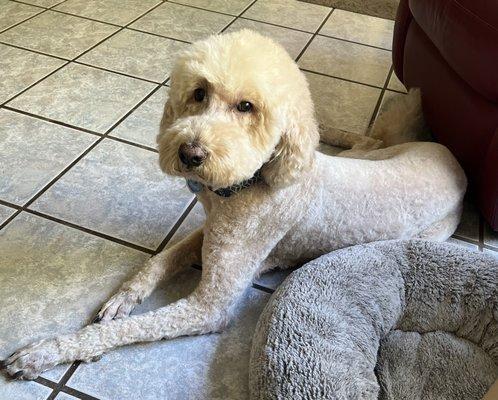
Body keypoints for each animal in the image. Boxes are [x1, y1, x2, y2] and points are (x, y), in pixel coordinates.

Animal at [1, 30, 466, 378]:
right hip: (372, 154)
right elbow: (160, 260)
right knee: (362, 138)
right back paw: (334, 131)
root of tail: (452, 160)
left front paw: (48, 352)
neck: (248, 184)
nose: (189, 153)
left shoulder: (210, 305)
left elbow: (133, 328)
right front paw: (124, 296)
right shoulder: (209, 230)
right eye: (199, 93)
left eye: (247, 106)